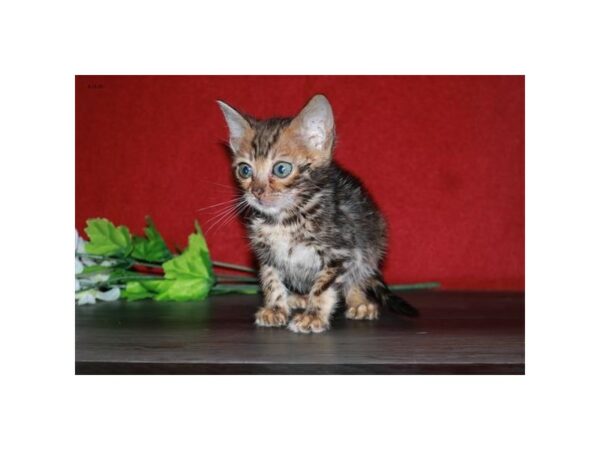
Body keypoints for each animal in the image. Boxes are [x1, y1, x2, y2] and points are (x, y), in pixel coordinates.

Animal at [217, 94, 418, 334]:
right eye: (245, 170)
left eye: (281, 169)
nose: (256, 192)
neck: (285, 219)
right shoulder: (265, 252)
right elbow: (271, 279)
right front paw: (275, 308)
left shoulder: (341, 252)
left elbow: (323, 286)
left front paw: (313, 316)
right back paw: (298, 297)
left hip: (372, 241)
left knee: (359, 274)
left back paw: (358, 302)